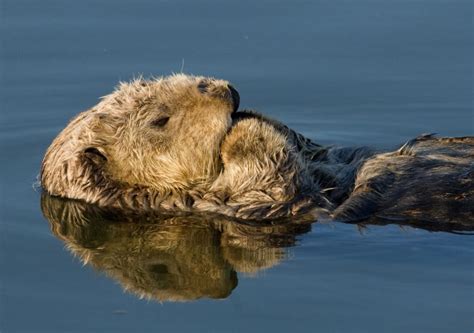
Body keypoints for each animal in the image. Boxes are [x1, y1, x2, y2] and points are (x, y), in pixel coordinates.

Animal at [41, 74, 474, 226]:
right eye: (159, 121)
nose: (221, 90)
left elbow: (304, 146)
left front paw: (251, 114)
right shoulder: (235, 204)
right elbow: (271, 180)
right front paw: (242, 129)